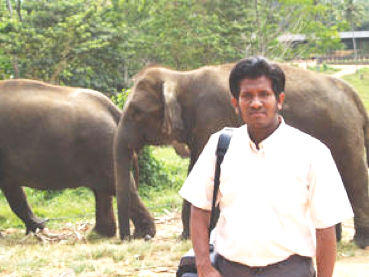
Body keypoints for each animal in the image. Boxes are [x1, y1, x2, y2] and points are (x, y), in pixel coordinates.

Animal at [0, 78, 154, 237]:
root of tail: (109, 107)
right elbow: (12, 188)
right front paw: (37, 227)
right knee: (103, 189)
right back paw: (99, 234)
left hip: (102, 145)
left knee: (116, 185)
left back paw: (143, 235)